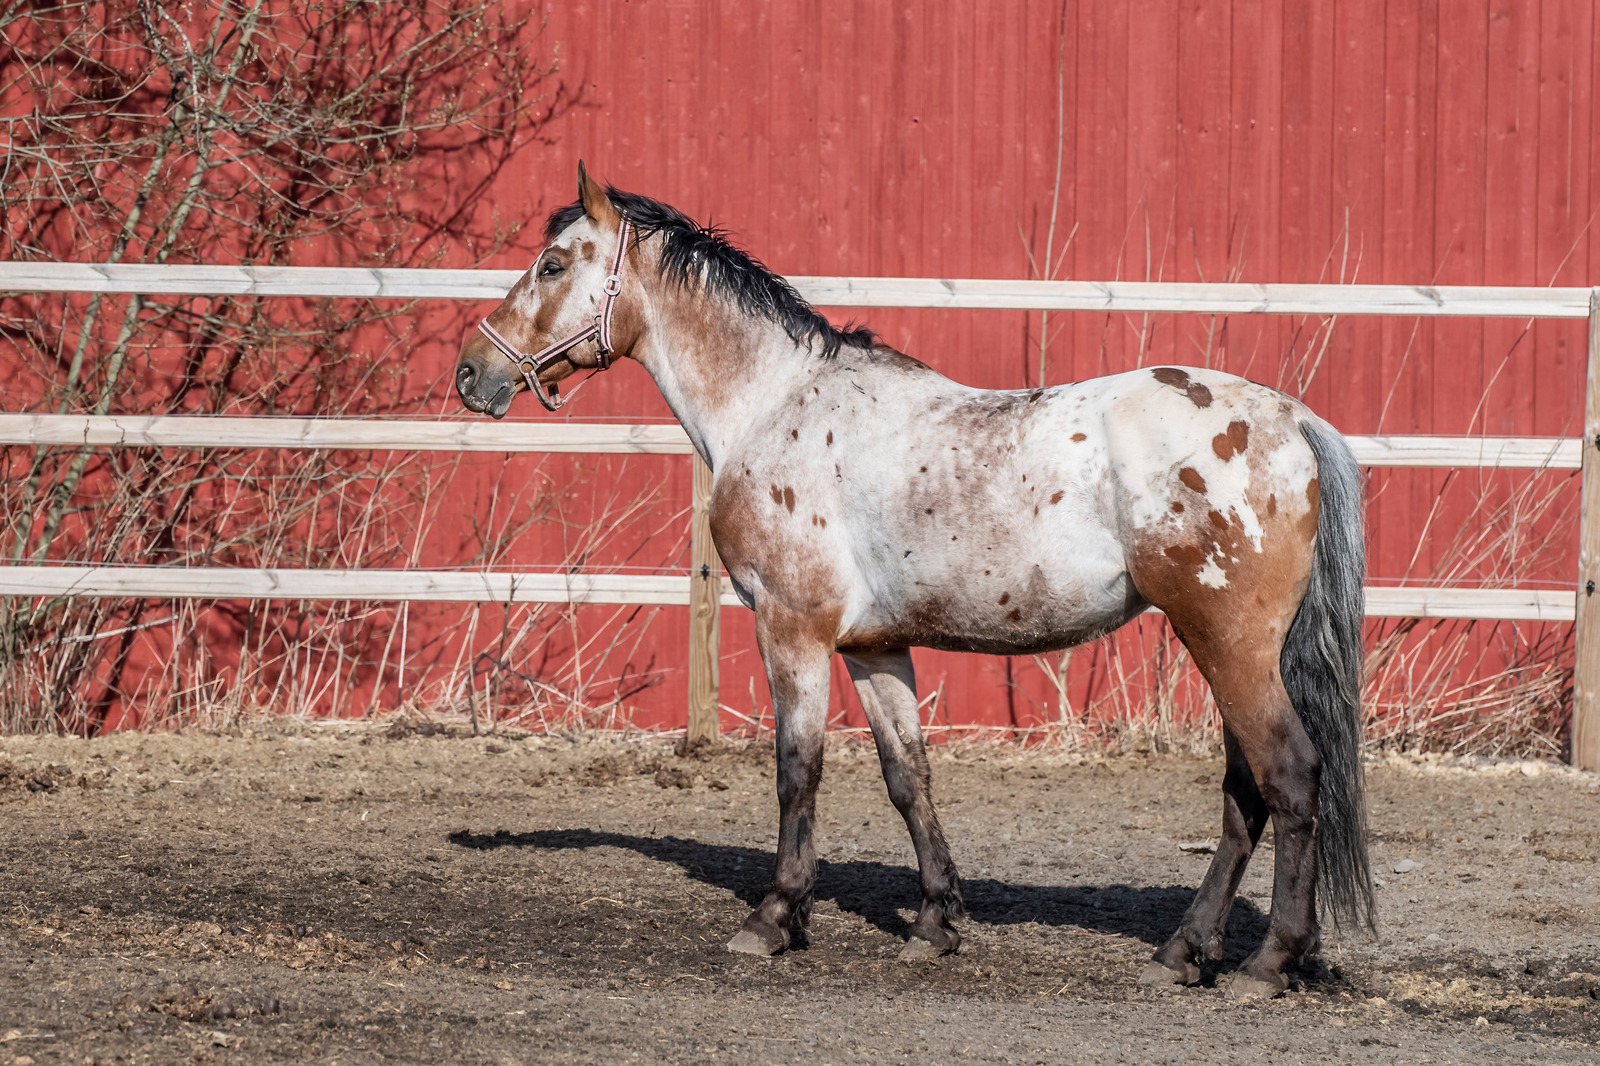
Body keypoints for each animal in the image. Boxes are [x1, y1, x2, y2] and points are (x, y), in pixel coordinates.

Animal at [454, 164, 1376, 998]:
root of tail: (1293, 421)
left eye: (552, 265)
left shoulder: (791, 629)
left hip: (1228, 644)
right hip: (1232, 650)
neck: (774, 404)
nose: (471, 372)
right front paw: (935, 924)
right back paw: (1184, 952)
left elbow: (797, 769)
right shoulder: (874, 647)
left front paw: (774, 919)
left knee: (1289, 777)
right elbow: (909, 778)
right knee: (1245, 794)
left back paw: (1265, 965)